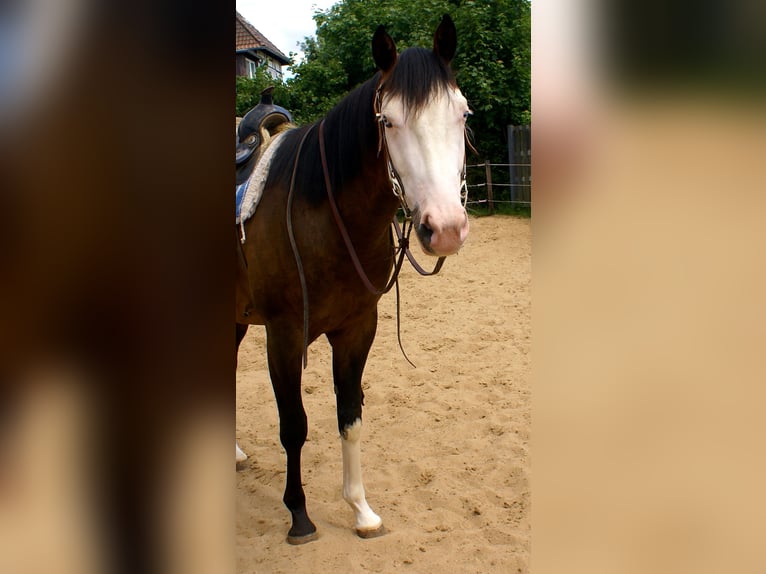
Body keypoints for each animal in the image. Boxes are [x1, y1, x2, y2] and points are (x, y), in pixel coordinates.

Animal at [236, 15, 471, 544]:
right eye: (388, 122)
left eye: (463, 115)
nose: (445, 228)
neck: (325, 214)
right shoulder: (283, 335)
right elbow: (294, 426)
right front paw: (299, 515)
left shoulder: (357, 328)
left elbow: (351, 418)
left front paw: (362, 511)